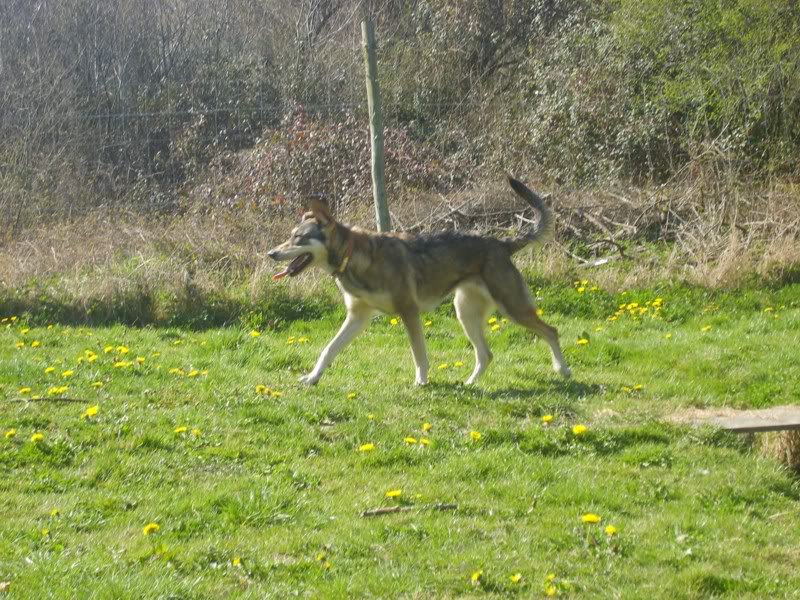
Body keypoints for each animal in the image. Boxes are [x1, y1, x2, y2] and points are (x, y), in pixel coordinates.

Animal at [268, 176, 568, 386]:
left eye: (298, 238)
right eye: (290, 236)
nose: (271, 253)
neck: (353, 257)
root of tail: (503, 244)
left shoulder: (408, 313)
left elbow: (419, 354)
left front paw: (421, 381)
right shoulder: (357, 317)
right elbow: (328, 351)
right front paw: (312, 378)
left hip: (512, 308)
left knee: (552, 331)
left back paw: (563, 370)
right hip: (466, 314)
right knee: (486, 355)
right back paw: (469, 383)